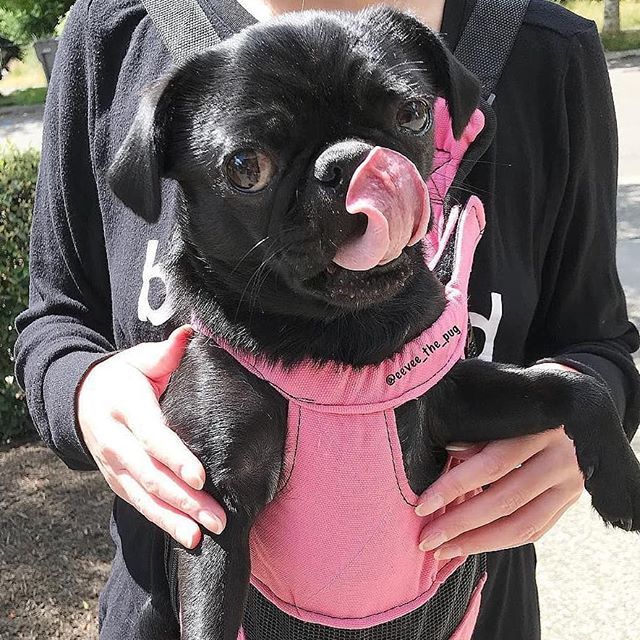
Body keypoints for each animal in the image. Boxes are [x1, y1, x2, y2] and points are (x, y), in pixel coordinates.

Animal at [109, 7, 640, 640]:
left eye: (411, 114)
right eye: (245, 168)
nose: (347, 162)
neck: (340, 340)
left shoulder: (450, 401)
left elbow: (571, 385)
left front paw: (622, 482)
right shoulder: (213, 506)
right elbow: (210, 616)